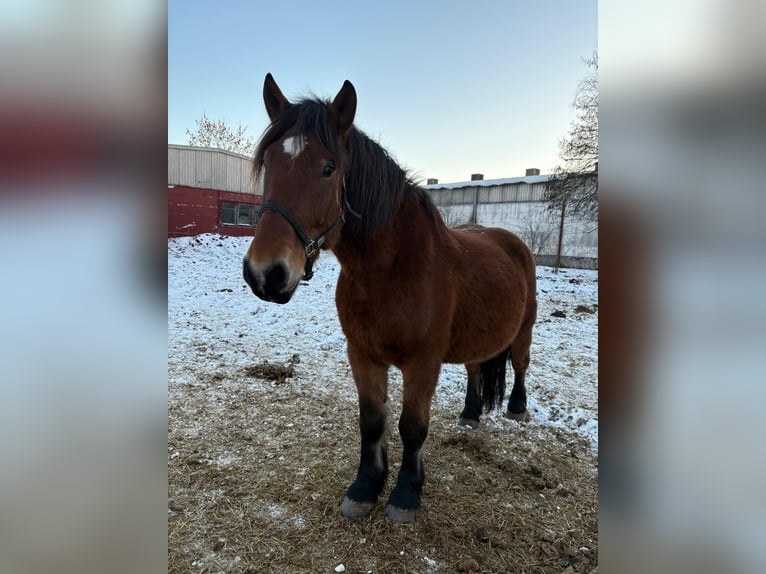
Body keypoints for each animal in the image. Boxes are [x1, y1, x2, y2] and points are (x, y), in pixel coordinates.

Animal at [243, 74, 537, 523]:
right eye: (269, 164)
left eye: (328, 168)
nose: (266, 274)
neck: (390, 270)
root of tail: (510, 240)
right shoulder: (363, 355)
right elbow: (372, 421)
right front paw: (366, 487)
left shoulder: (423, 364)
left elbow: (412, 426)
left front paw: (405, 494)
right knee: (474, 369)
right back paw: (470, 414)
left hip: (524, 329)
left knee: (520, 364)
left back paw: (517, 407)